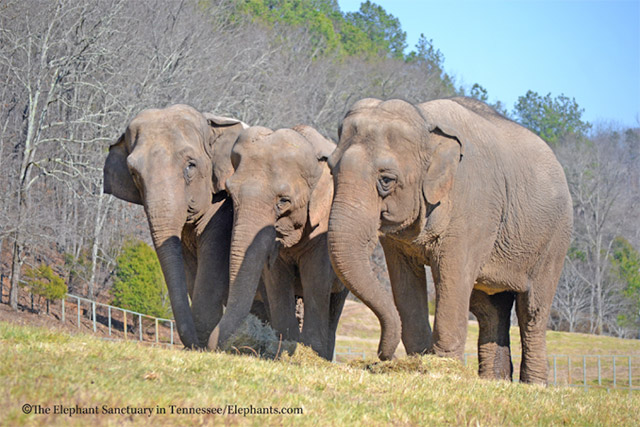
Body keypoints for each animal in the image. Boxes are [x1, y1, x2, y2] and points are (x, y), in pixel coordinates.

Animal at [102, 104, 268, 352]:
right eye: (134, 174)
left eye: (191, 166)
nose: (194, 344)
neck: (210, 123)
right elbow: (189, 267)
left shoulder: (223, 207)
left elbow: (212, 260)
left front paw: (203, 342)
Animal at [206, 124, 348, 362]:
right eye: (231, 194)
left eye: (283, 201)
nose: (213, 345)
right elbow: (276, 279)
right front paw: (286, 346)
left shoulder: (325, 225)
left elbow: (316, 276)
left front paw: (309, 350)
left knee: (335, 303)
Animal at [328, 98, 572, 384]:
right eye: (331, 170)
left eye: (386, 180)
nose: (381, 357)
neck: (425, 120)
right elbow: (404, 280)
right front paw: (419, 362)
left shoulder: (472, 210)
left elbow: (452, 277)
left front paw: (443, 370)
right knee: (489, 310)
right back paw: (493, 382)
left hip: (555, 239)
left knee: (532, 310)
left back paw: (534, 386)